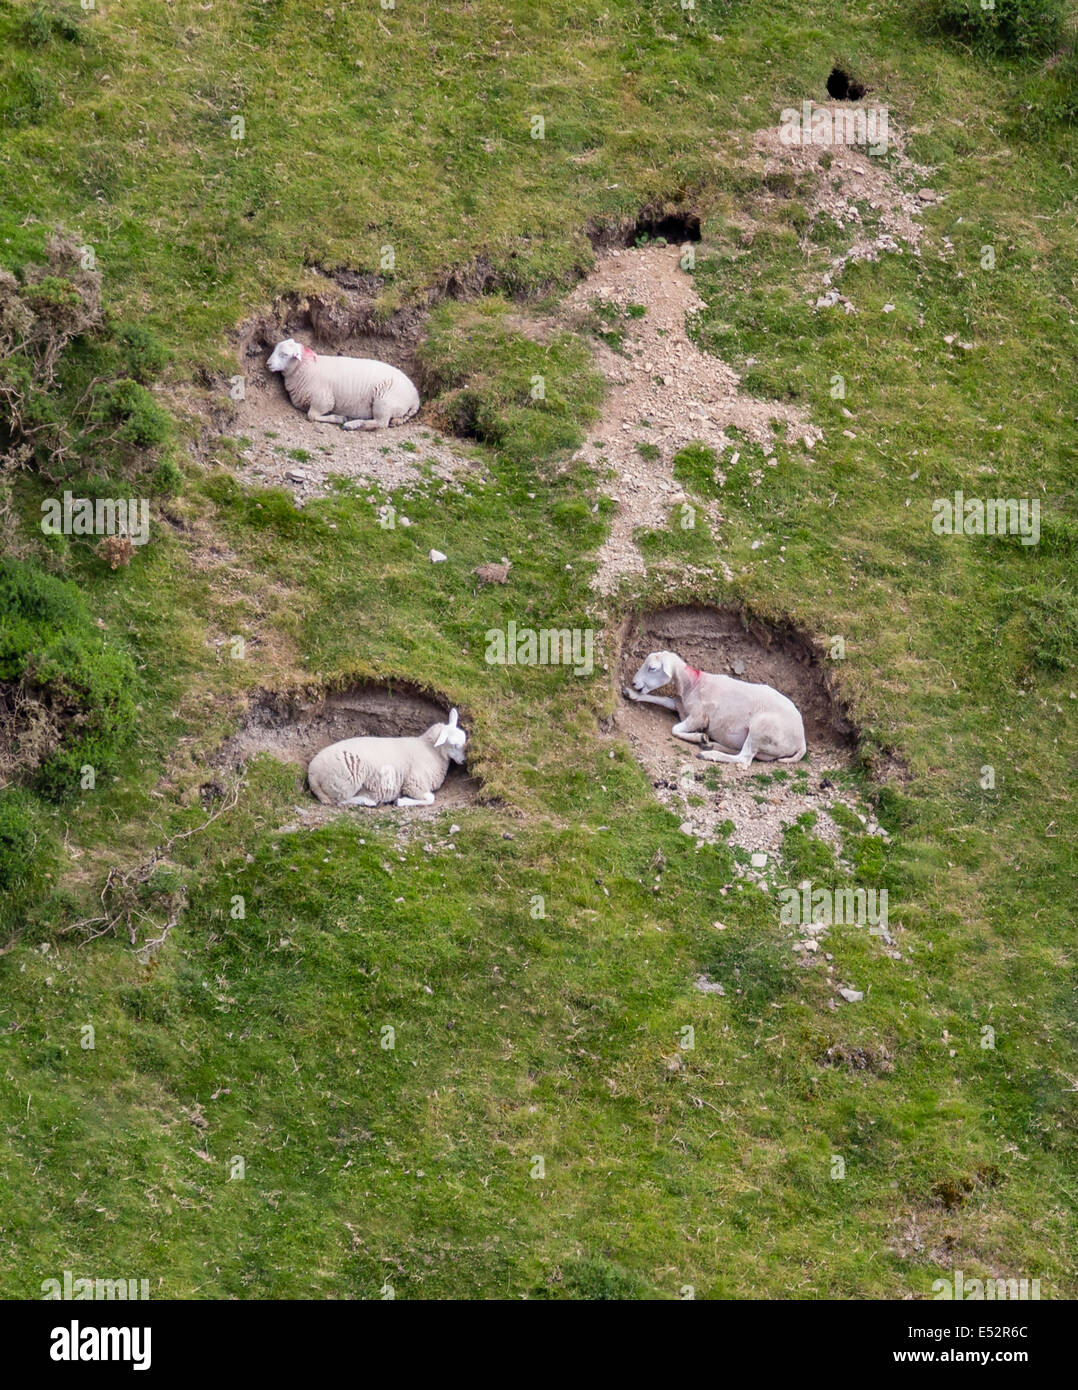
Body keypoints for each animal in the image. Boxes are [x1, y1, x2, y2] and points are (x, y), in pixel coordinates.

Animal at [266, 338, 420, 430]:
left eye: (284, 354)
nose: (268, 364)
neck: (307, 368)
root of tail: (415, 397)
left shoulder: (323, 401)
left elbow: (312, 416)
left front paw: (338, 418)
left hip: (384, 402)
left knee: (380, 423)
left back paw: (352, 424)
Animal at [307, 709, 467, 808]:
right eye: (454, 745)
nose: (464, 761)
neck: (430, 750)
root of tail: (312, 773)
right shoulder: (414, 783)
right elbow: (430, 799)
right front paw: (401, 801)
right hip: (344, 782)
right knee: (340, 801)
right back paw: (368, 802)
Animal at [624, 650, 806, 766]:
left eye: (652, 668)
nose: (633, 682)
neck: (693, 684)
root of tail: (802, 741)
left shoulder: (698, 716)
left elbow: (674, 729)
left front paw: (698, 736)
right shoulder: (680, 705)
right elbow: (664, 700)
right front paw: (631, 693)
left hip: (762, 729)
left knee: (744, 759)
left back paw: (708, 753)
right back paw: (711, 745)